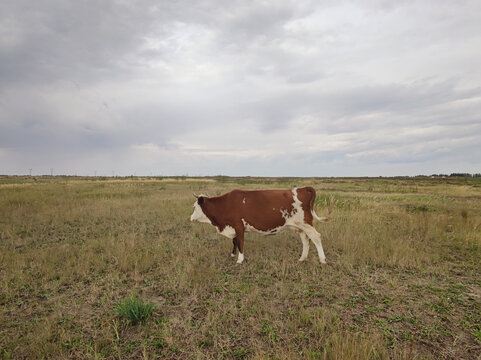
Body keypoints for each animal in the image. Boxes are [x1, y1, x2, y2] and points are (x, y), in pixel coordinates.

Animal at [189, 188, 328, 264]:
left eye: (194, 207)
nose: (190, 218)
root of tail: (303, 188)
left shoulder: (239, 227)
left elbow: (240, 243)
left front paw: (240, 259)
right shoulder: (234, 227)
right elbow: (234, 242)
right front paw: (233, 255)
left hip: (305, 224)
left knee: (316, 237)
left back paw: (322, 260)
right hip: (300, 227)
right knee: (306, 240)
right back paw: (302, 258)